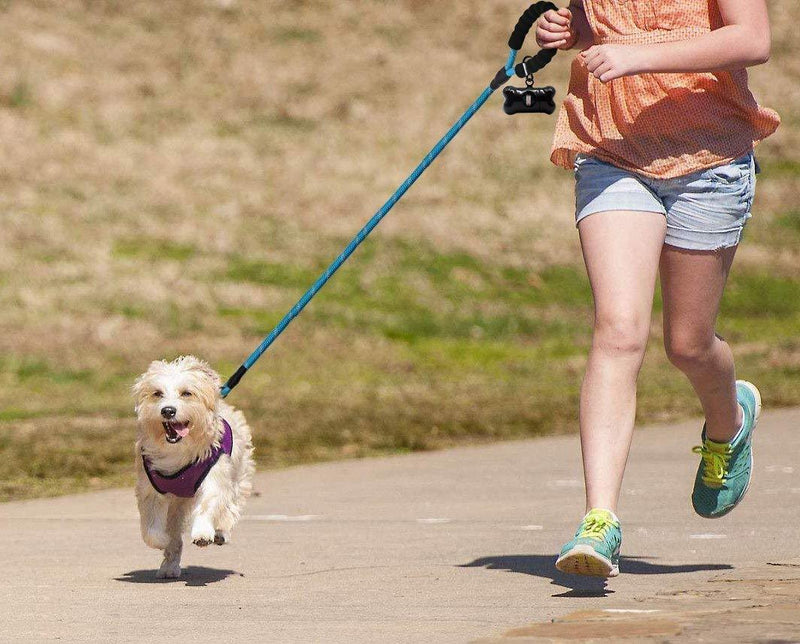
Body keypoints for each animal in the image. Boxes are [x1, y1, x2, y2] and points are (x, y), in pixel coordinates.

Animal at [132, 354, 253, 580]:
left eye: (187, 393)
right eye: (157, 393)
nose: (168, 410)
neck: (178, 450)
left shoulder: (215, 478)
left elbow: (208, 505)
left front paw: (203, 533)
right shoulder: (149, 489)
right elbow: (151, 528)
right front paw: (163, 540)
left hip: (238, 476)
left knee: (231, 506)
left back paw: (221, 532)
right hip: (176, 506)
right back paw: (170, 565)